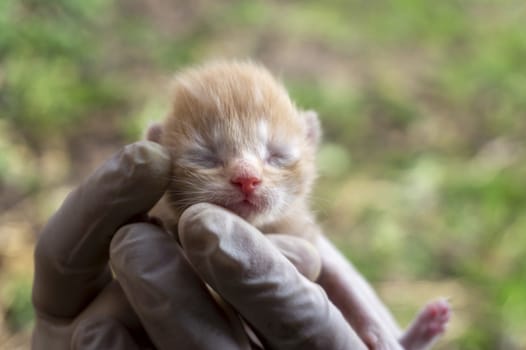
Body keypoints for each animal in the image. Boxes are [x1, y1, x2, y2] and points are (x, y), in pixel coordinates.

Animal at [147, 61, 450, 348]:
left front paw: (382, 337)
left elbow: (343, 286)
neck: (262, 227)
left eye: (277, 155)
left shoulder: (310, 241)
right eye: (205, 158)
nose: (247, 179)